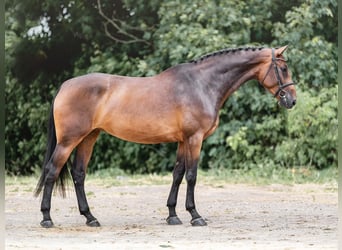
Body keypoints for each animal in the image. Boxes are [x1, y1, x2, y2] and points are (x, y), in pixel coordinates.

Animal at [34, 45, 296, 229]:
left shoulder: (182, 141)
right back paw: (46, 218)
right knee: (52, 171)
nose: (292, 100)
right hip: (68, 141)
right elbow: (191, 176)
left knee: (79, 175)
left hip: (89, 138)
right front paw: (195, 215)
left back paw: (90, 217)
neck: (201, 84)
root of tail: (64, 86)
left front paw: (172, 215)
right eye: (283, 69)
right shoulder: (194, 139)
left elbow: (177, 175)